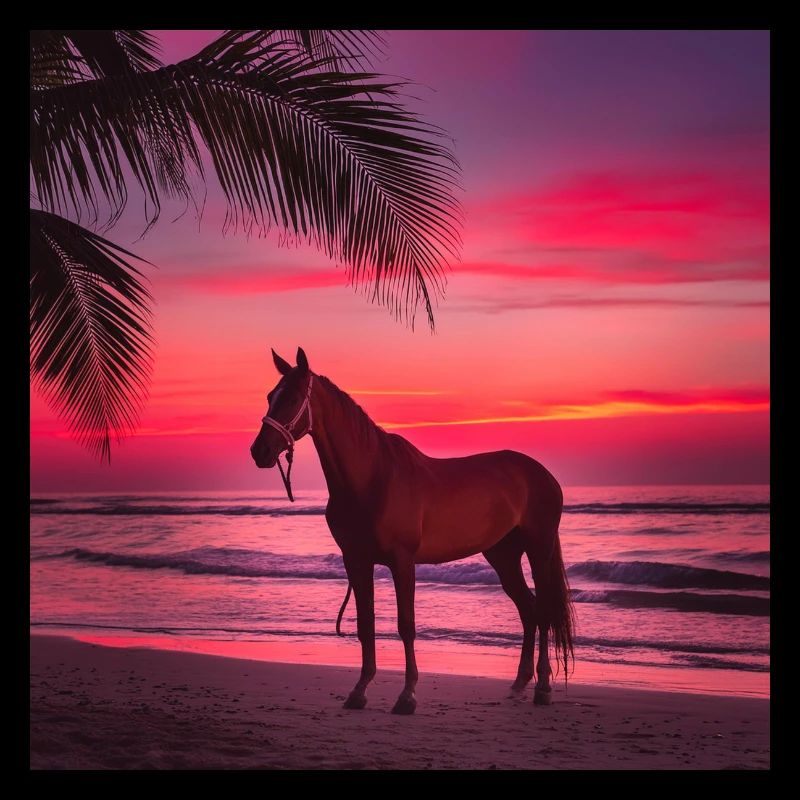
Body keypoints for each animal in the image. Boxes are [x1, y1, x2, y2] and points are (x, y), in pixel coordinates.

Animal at [250, 347, 575, 714]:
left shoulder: (402, 561)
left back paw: (543, 688)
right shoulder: (356, 561)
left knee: (543, 611)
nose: (259, 451)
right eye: (270, 396)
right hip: (503, 556)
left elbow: (406, 625)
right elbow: (365, 624)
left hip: (538, 549)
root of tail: (542, 474)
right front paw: (359, 691)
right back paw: (519, 684)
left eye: (291, 398)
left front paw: (407, 696)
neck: (372, 479)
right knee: (529, 610)